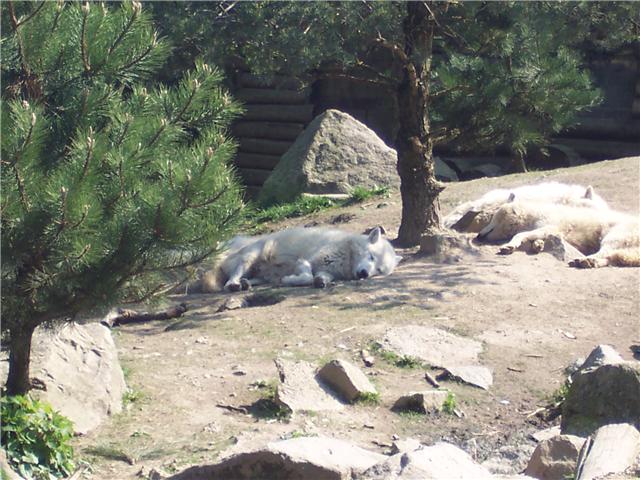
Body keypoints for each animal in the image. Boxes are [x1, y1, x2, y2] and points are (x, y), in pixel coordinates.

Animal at [202, 226, 402, 290]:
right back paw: (234, 284)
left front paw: (321, 282)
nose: (364, 274)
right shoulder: (305, 261)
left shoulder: (327, 270)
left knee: (253, 279)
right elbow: (306, 276)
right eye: (371, 257)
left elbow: (321, 277)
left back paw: (246, 284)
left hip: (261, 274)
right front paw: (290, 280)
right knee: (232, 277)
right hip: (249, 257)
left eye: (379, 271)